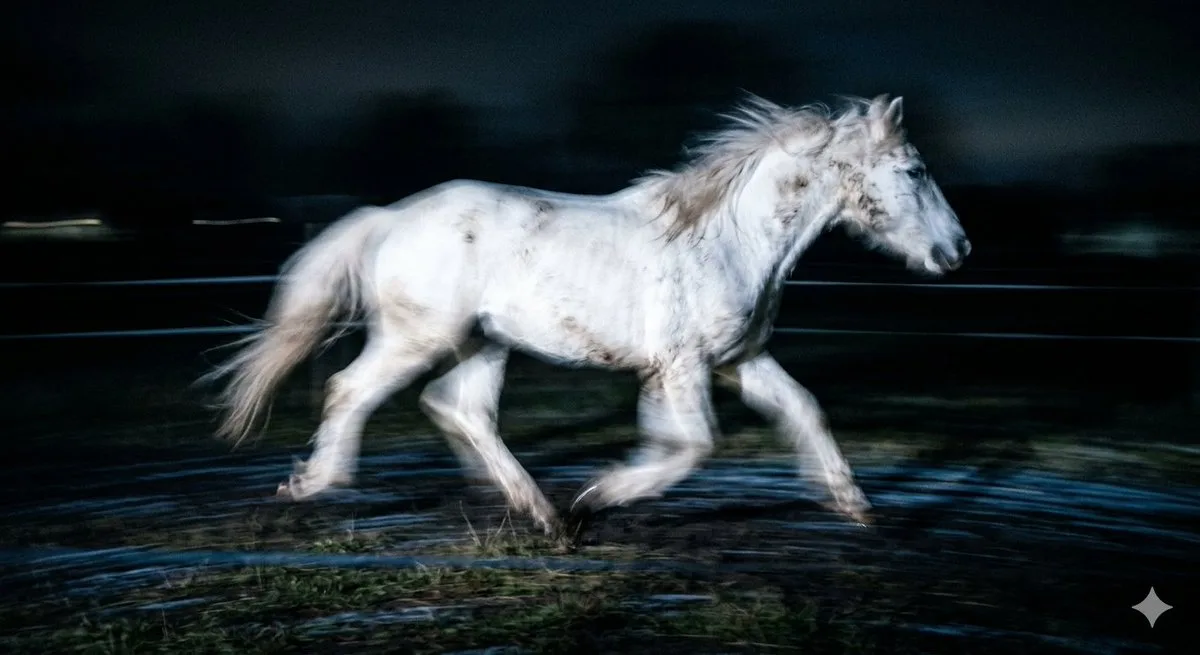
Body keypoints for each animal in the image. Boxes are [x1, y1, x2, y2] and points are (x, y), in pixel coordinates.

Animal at [202, 94, 971, 538]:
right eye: (914, 171)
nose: (958, 248)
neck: (730, 238)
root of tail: (387, 218)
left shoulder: (739, 359)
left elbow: (806, 410)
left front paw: (855, 506)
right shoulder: (682, 366)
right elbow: (692, 446)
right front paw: (598, 496)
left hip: (484, 345)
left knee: (458, 408)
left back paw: (538, 511)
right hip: (416, 337)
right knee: (351, 391)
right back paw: (315, 483)